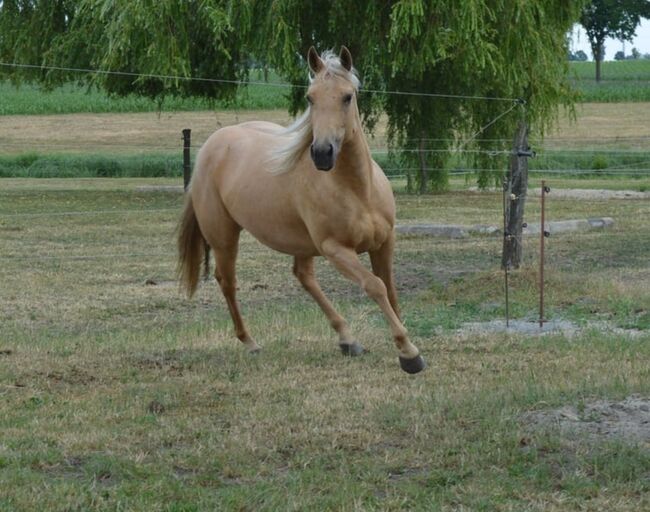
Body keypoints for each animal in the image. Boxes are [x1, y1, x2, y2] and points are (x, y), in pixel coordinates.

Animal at [177, 46, 422, 374]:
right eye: (310, 98)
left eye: (347, 96)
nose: (321, 153)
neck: (358, 190)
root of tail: (211, 147)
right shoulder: (336, 249)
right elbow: (375, 286)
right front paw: (409, 353)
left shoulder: (385, 242)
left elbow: (390, 288)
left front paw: (404, 341)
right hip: (224, 236)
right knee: (228, 282)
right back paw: (251, 343)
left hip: (300, 243)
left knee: (303, 276)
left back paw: (347, 339)